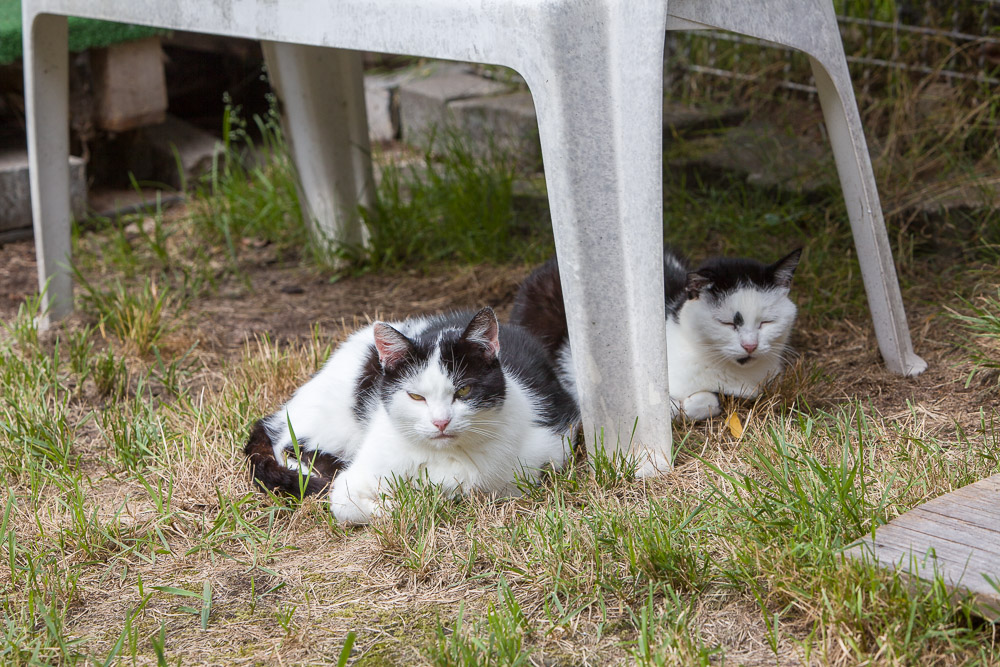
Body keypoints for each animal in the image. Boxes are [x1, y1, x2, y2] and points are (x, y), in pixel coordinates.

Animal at [245, 306, 584, 524]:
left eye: (463, 391)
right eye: (416, 397)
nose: (440, 422)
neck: (443, 458)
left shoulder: (552, 446)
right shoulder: (356, 478)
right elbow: (347, 503)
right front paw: (400, 504)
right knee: (284, 443)